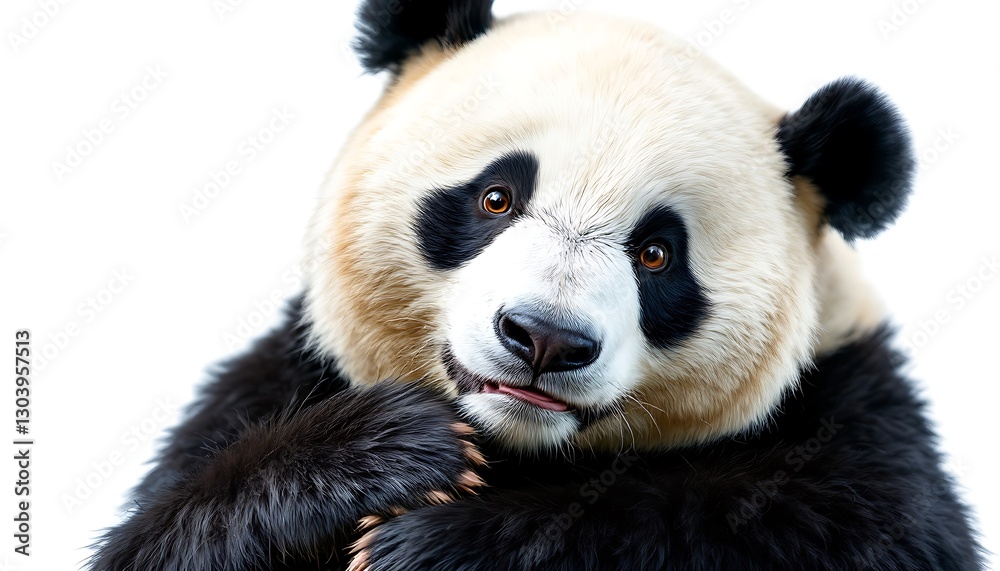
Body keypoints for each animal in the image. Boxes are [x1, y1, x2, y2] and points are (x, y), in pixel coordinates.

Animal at [90, 1, 982, 570]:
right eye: (496, 197)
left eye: (657, 254)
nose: (545, 337)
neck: (516, 444)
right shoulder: (282, 379)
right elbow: (160, 537)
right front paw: (391, 450)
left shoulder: (855, 407)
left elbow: (824, 527)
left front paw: (436, 544)